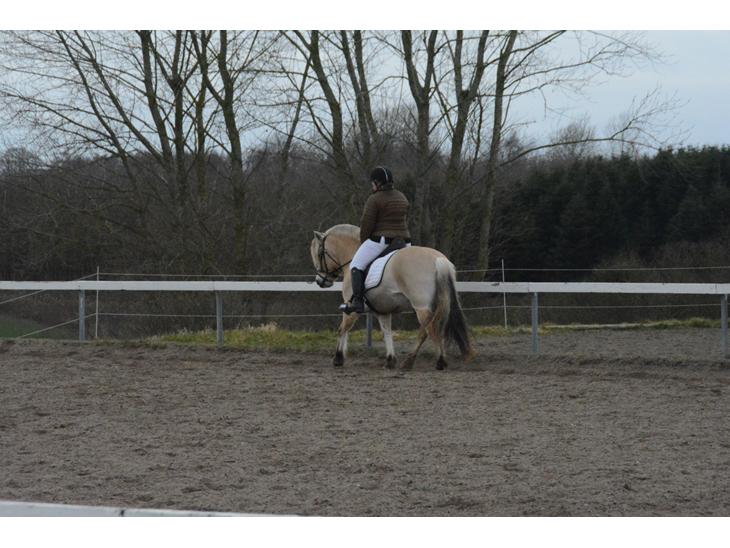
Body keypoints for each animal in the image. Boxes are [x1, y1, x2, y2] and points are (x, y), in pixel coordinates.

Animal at [310, 224, 474, 370]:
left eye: (319, 253)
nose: (320, 281)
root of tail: (438, 259)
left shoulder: (352, 309)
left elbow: (343, 328)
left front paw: (338, 358)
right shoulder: (383, 311)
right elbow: (387, 332)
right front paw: (390, 360)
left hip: (421, 306)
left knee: (429, 329)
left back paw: (435, 361)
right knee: (428, 330)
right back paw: (414, 361)